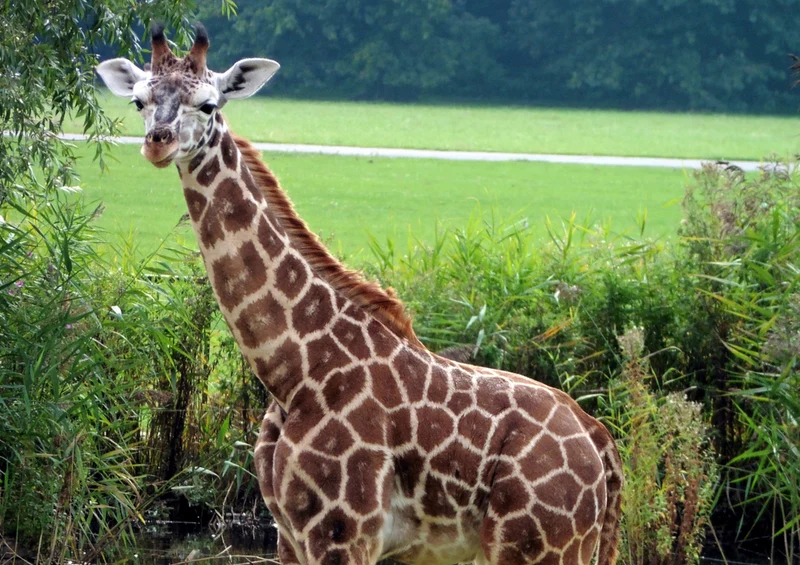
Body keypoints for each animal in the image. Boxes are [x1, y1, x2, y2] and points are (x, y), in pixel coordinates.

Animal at [96, 23, 623, 565]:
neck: (290, 371)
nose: (157, 143)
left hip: (535, 546)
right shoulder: (288, 533)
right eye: (139, 100)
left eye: (208, 104)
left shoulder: (343, 531)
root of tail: (601, 446)